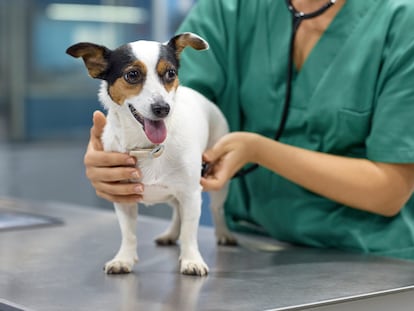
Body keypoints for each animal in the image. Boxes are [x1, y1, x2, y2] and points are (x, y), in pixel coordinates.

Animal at [66, 31, 238, 276]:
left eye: (171, 73)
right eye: (132, 75)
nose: (162, 108)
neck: (147, 147)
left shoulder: (191, 194)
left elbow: (190, 231)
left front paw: (191, 260)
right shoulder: (123, 198)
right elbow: (128, 233)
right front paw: (124, 259)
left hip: (217, 181)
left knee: (216, 208)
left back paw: (224, 234)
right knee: (177, 212)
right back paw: (170, 234)